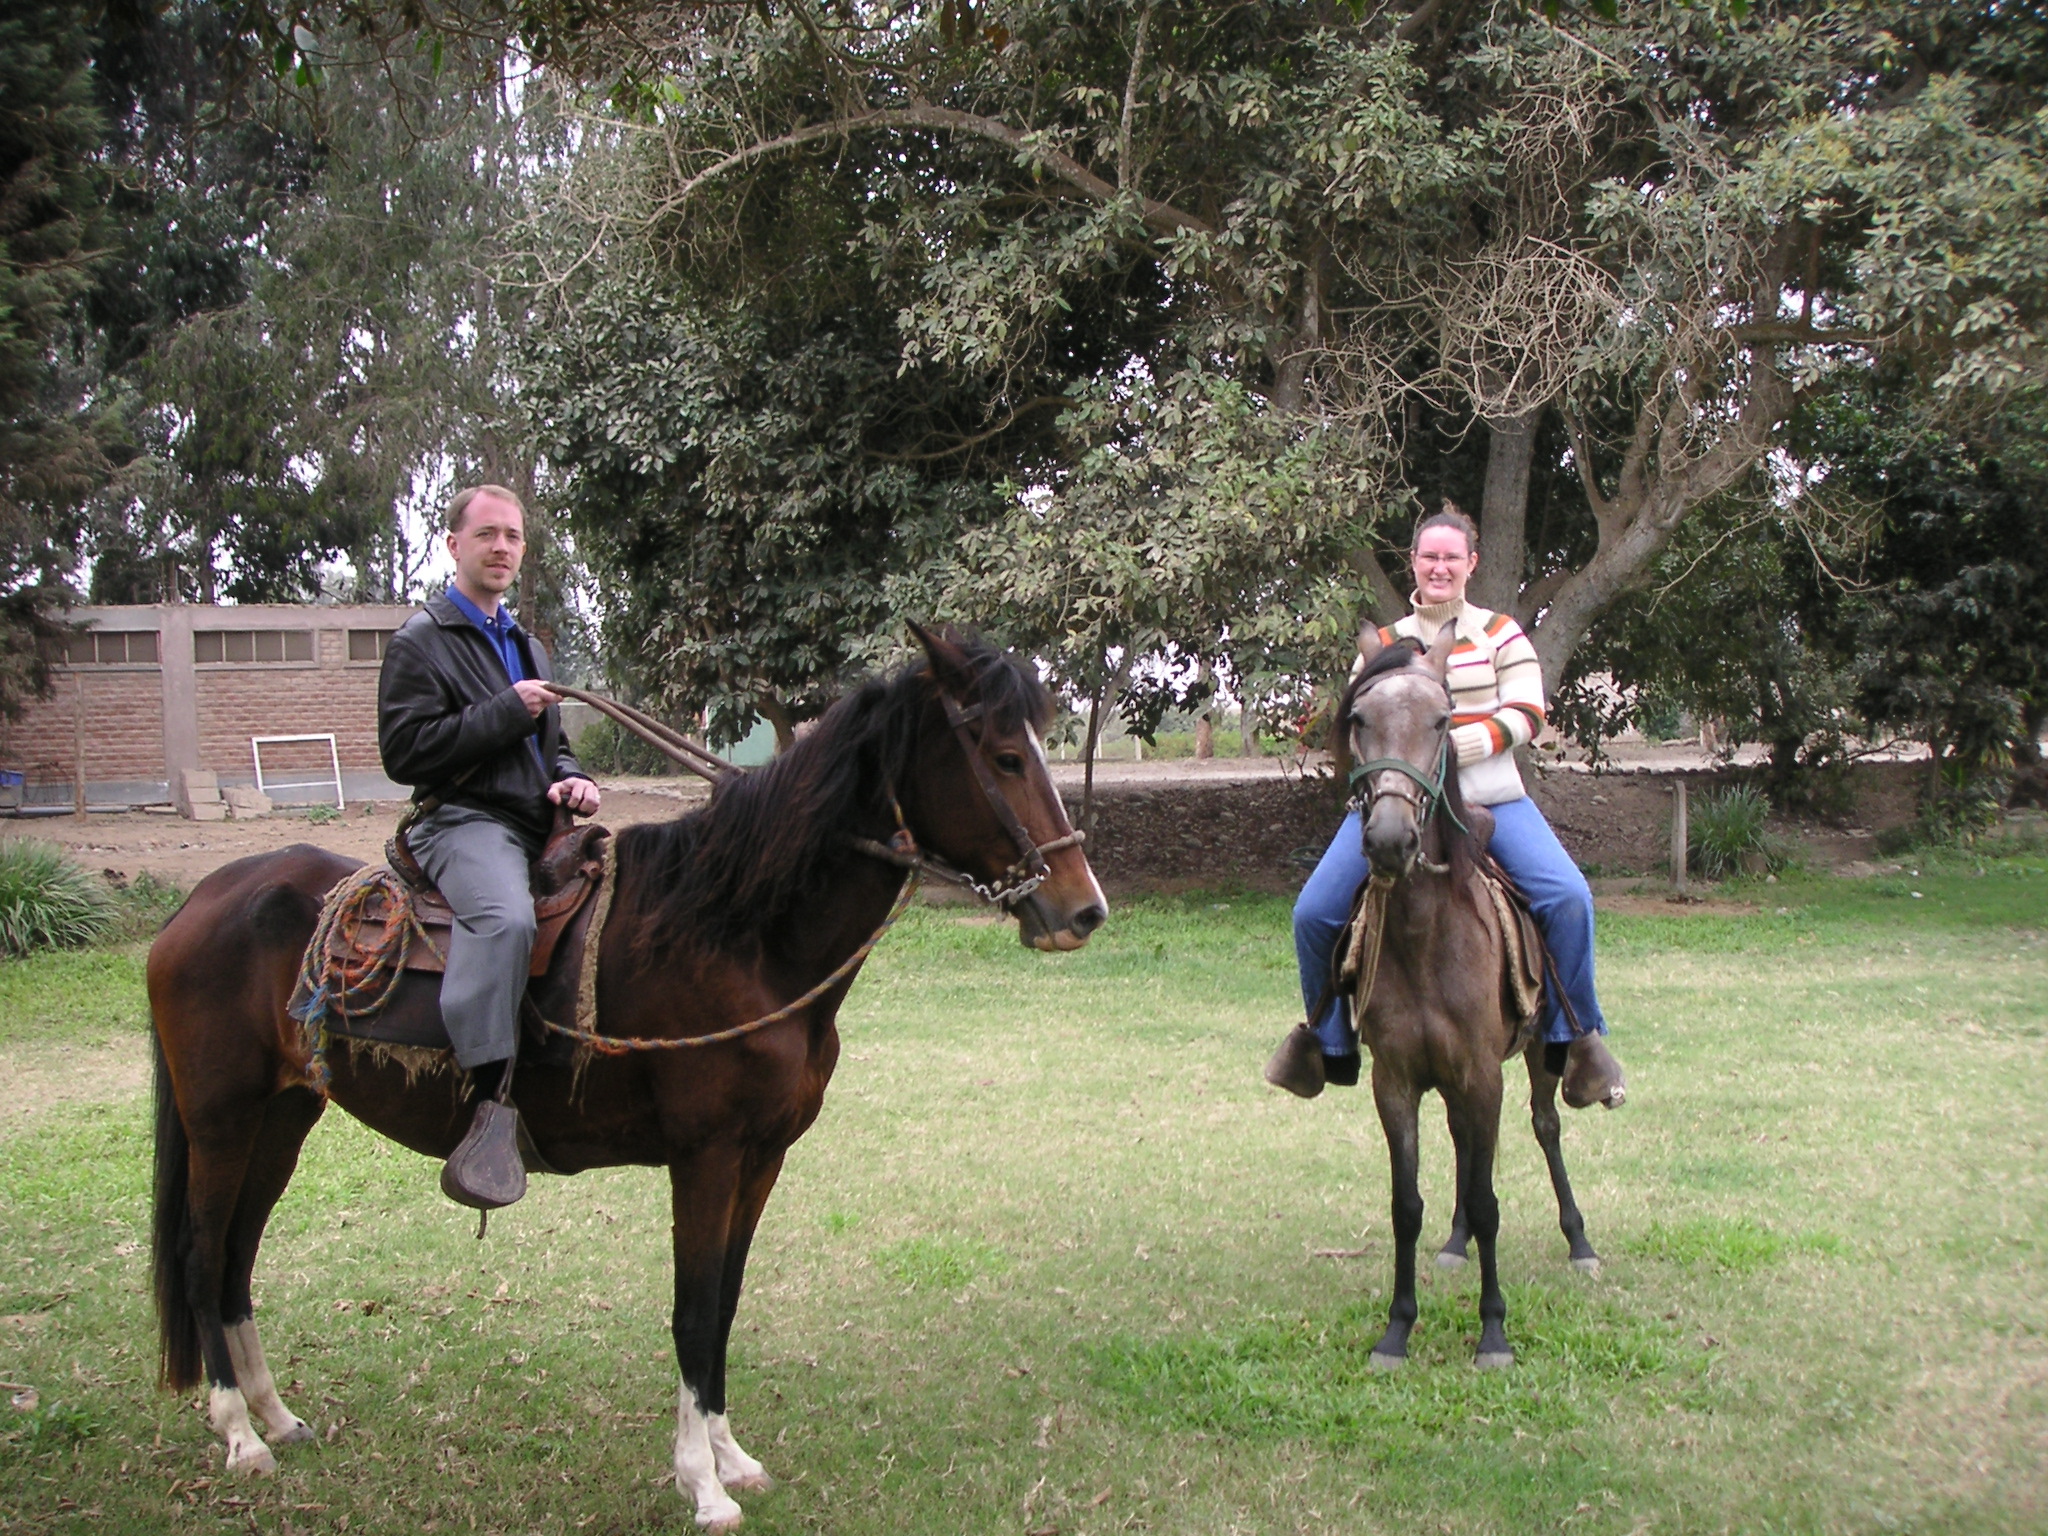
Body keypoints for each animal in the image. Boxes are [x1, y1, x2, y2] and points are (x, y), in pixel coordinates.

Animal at [148, 626, 1105, 1531]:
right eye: (1004, 756)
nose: (1083, 909)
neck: (741, 937)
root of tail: (200, 901)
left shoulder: (762, 1159)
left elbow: (725, 1303)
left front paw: (730, 1455)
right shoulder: (706, 1156)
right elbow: (692, 1308)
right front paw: (701, 1487)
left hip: (282, 1117)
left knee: (236, 1255)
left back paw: (276, 1417)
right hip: (222, 1119)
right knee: (202, 1252)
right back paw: (238, 1435)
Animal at [1343, 626, 1597, 1368]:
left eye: (1441, 719)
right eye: (1359, 719)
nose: (1389, 840)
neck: (1426, 938)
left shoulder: (1485, 1075)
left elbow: (1488, 1202)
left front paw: (1493, 1333)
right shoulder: (1396, 1081)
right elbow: (1406, 1203)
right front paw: (1397, 1329)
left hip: (1541, 1054)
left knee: (1546, 1128)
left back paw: (1581, 1242)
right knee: (1462, 1145)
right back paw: (1454, 1246)